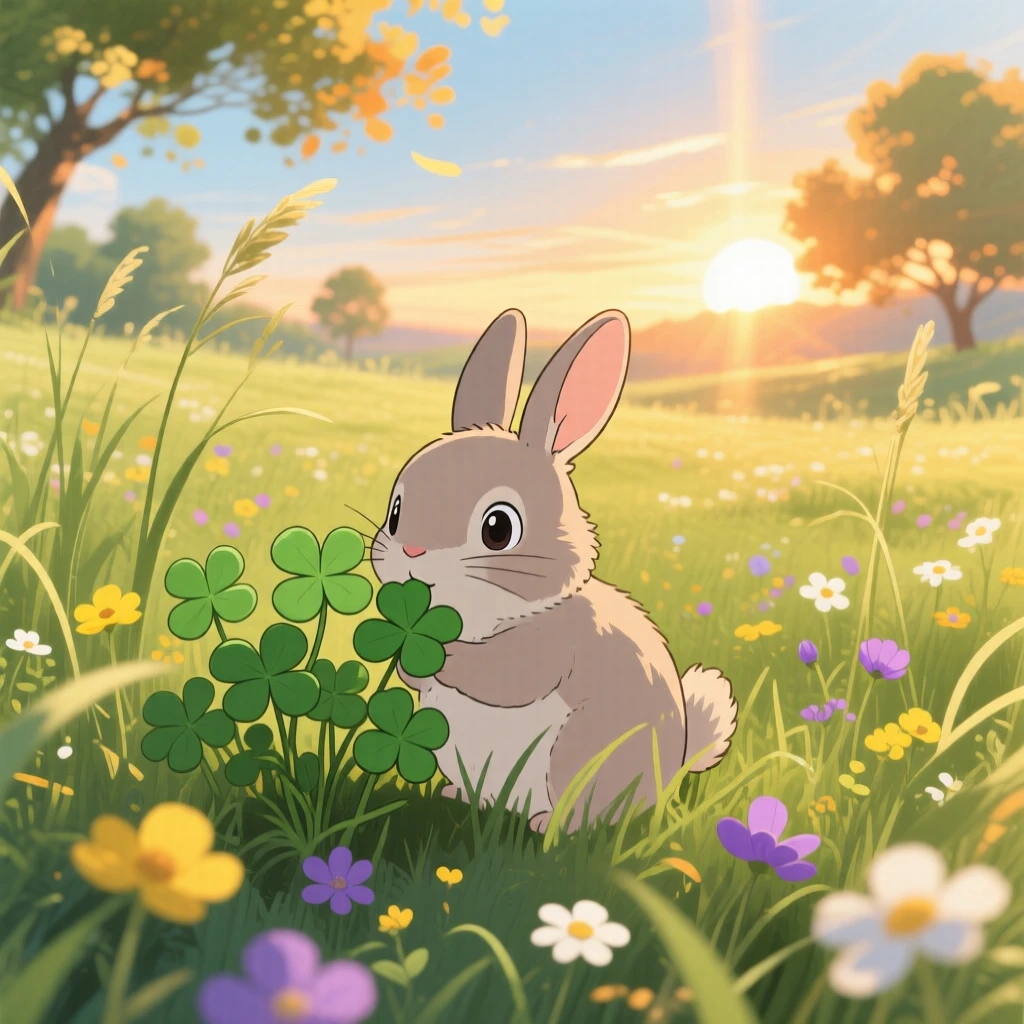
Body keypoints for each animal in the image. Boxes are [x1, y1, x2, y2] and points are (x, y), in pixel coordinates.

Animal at [369, 307, 738, 833]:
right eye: (396, 511)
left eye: (498, 528)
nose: (413, 552)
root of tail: (668, 778)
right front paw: (408, 663)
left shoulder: (551, 644)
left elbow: (501, 679)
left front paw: (444, 660)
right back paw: (461, 796)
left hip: (576, 754)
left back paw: (549, 824)